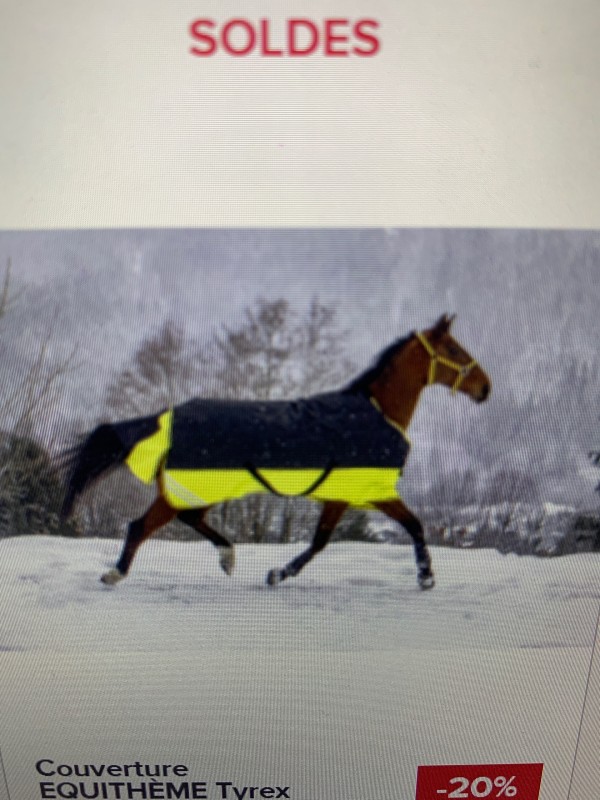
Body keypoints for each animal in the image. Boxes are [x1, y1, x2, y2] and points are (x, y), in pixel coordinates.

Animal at [61, 313, 491, 590]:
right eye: (454, 348)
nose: (485, 387)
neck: (375, 411)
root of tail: (169, 416)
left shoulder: (347, 495)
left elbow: (326, 540)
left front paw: (277, 574)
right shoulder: (367, 492)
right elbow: (408, 526)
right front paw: (426, 576)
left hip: (201, 489)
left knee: (190, 518)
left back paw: (227, 557)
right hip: (189, 487)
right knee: (141, 526)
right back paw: (115, 574)